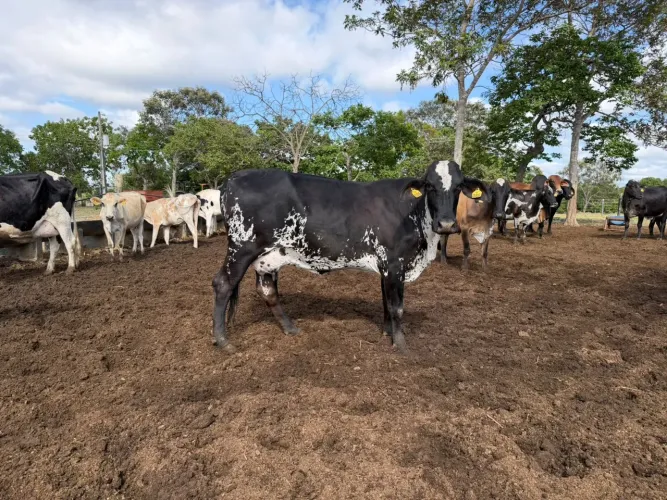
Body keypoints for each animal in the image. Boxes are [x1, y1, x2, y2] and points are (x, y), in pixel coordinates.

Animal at [211, 160, 488, 353]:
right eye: (430, 186)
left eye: (459, 187)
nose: (446, 224)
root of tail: (234, 177)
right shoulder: (395, 263)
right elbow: (397, 307)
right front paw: (400, 345)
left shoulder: (386, 267)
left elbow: (386, 303)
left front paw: (386, 333)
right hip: (242, 248)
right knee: (223, 284)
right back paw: (223, 340)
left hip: (269, 255)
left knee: (267, 290)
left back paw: (290, 328)